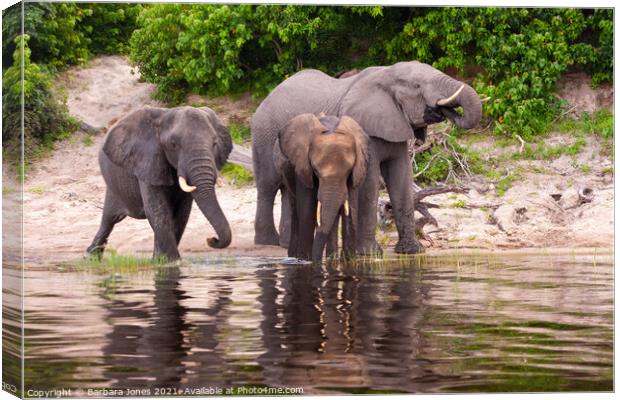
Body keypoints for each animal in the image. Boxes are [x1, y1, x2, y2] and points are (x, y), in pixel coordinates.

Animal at [85, 104, 232, 260]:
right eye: (173, 144)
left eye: (215, 143)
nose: (211, 239)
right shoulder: (147, 160)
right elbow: (158, 210)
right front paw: (168, 261)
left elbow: (182, 213)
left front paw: (160, 259)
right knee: (109, 219)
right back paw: (90, 257)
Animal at [272, 113, 368, 262]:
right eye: (316, 171)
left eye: (348, 171)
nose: (316, 260)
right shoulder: (303, 166)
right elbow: (307, 209)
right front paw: (306, 261)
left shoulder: (357, 168)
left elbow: (351, 209)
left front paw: (349, 261)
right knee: (296, 210)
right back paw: (295, 257)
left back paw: (331, 258)